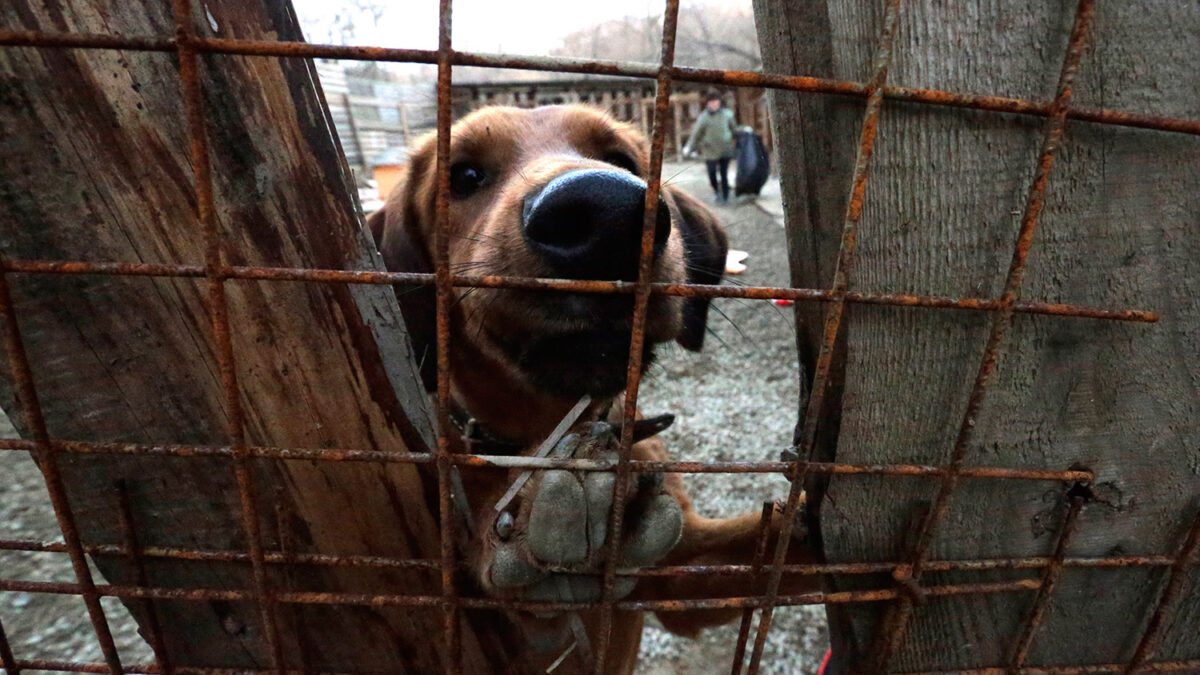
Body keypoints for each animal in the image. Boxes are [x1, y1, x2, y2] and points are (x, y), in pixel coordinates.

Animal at [367, 103, 816, 667]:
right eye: (464, 176)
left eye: (621, 160)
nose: (605, 210)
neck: (555, 429)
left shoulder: (683, 574)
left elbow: (779, 538)